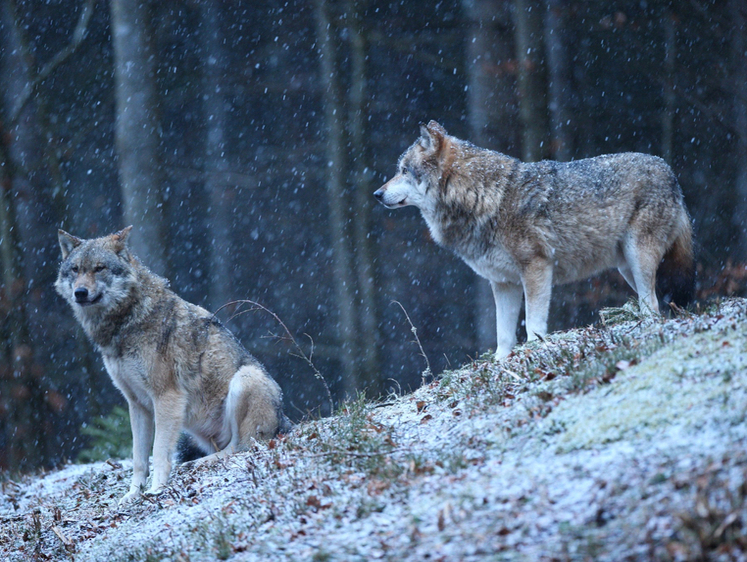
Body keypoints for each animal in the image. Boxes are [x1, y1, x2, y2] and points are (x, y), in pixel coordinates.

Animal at [54, 226, 290, 504]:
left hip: (245, 378)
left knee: (241, 446)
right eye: (75, 269)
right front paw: (133, 495)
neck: (127, 321)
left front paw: (156, 490)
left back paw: (198, 464)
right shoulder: (136, 404)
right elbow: (139, 458)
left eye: (99, 268)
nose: (80, 292)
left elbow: (159, 452)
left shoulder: (167, 397)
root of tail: (284, 421)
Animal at [374, 121, 696, 356]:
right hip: (626, 267)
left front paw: (535, 348)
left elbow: (533, 322)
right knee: (654, 304)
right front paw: (501, 363)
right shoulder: (503, 283)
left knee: (652, 306)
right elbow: (503, 335)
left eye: (403, 171)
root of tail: (670, 171)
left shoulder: (537, 268)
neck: (485, 198)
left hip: (638, 259)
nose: (377, 194)